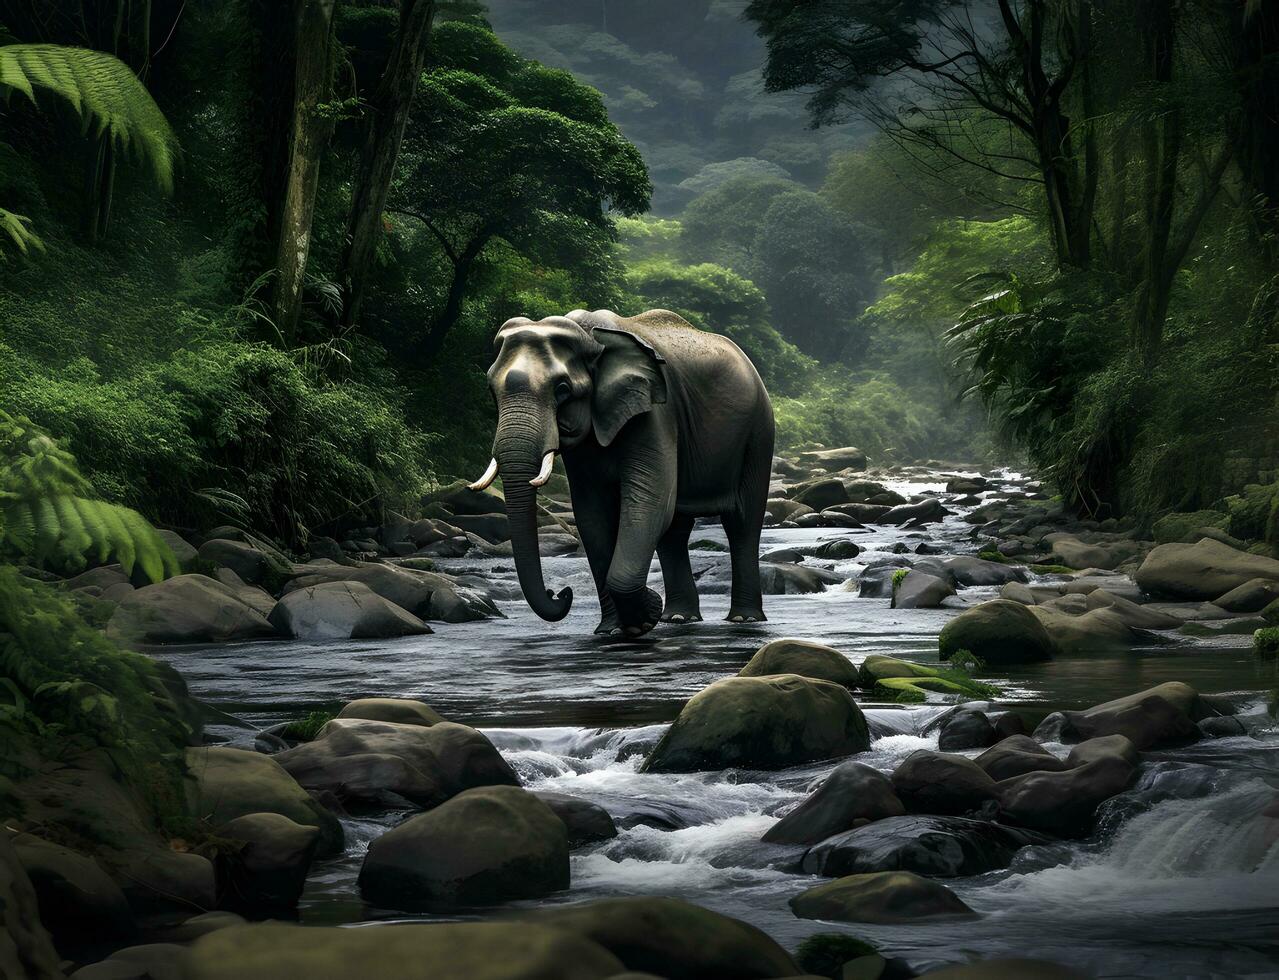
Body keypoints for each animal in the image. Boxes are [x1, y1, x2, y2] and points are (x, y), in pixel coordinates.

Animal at [468, 310, 772, 639]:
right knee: (675, 530)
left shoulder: (655, 412)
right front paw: (612, 631)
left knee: (742, 522)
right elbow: (592, 514)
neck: (589, 335)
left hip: (758, 432)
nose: (561, 593)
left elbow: (649, 502)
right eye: (491, 391)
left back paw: (744, 619)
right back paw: (678, 618)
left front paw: (643, 617)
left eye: (562, 389)